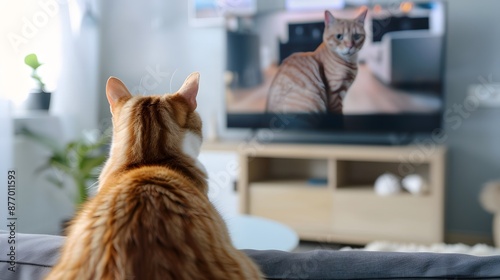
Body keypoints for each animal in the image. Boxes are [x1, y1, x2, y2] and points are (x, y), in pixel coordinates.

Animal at [225, 0, 444, 133]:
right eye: (339, 36)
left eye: (356, 36)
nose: (349, 46)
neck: (349, 63)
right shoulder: (335, 95)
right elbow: (339, 119)